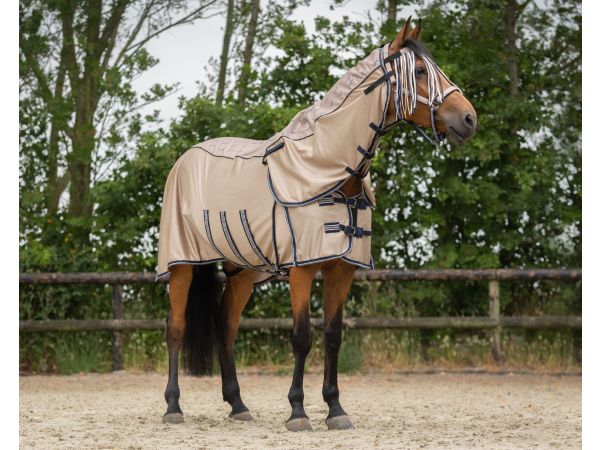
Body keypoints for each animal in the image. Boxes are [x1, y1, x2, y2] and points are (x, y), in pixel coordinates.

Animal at [159, 18, 478, 432]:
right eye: (420, 72)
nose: (469, 119)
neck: (328, 173)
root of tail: (186, 158)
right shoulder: (302, 269)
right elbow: (301, 337)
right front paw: (298, 411)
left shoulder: (341, 270)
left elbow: (333, 336)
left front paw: (336, 409)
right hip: (181, 263)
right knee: (176, 326)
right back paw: (173, 406)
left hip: (243, 271)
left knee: (226, 326)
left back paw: (238, 404)